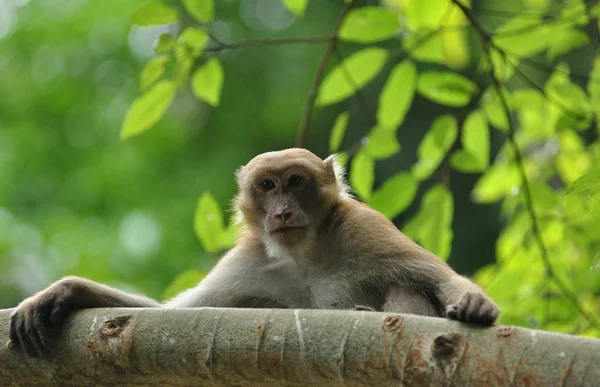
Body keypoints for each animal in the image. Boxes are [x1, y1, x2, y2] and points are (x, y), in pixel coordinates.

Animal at [9, 149, 500, 358]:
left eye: (295, 182)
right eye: (267, 185)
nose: (281, 210)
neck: (305, 254)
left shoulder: (364, 228)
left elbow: (435, 277)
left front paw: (474, 301)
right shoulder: (249, 261)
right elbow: (172, 315)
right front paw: (67, 291)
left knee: (406, 283)